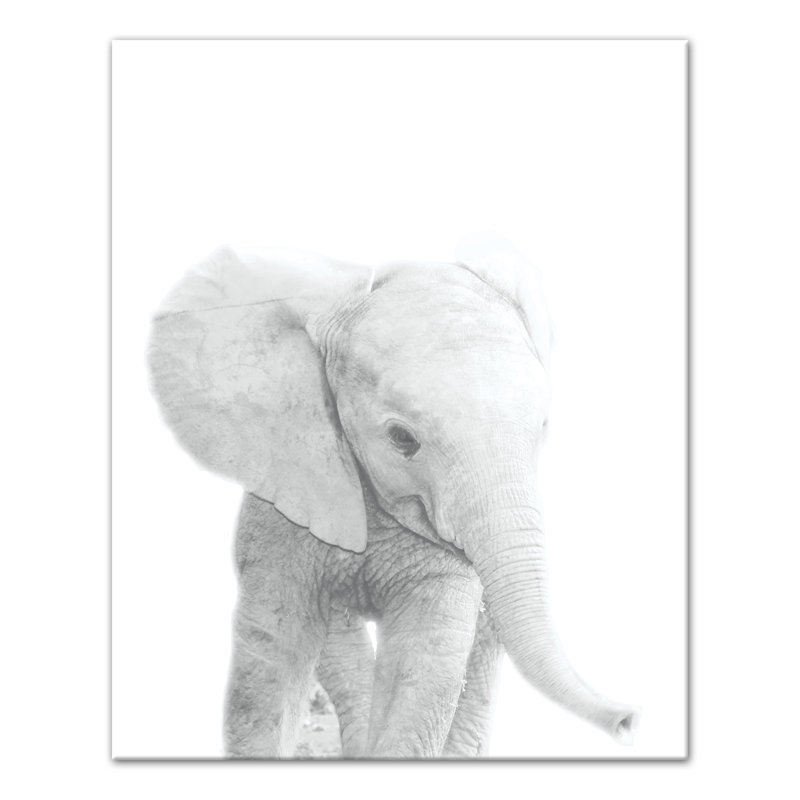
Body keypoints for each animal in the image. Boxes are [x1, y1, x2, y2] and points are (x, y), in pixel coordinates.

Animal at [147, 237, 639, 758]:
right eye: (403, 439)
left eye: (542, 429)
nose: (628, 720)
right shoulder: (283, 501)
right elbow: (271, 650)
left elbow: (424, 662)